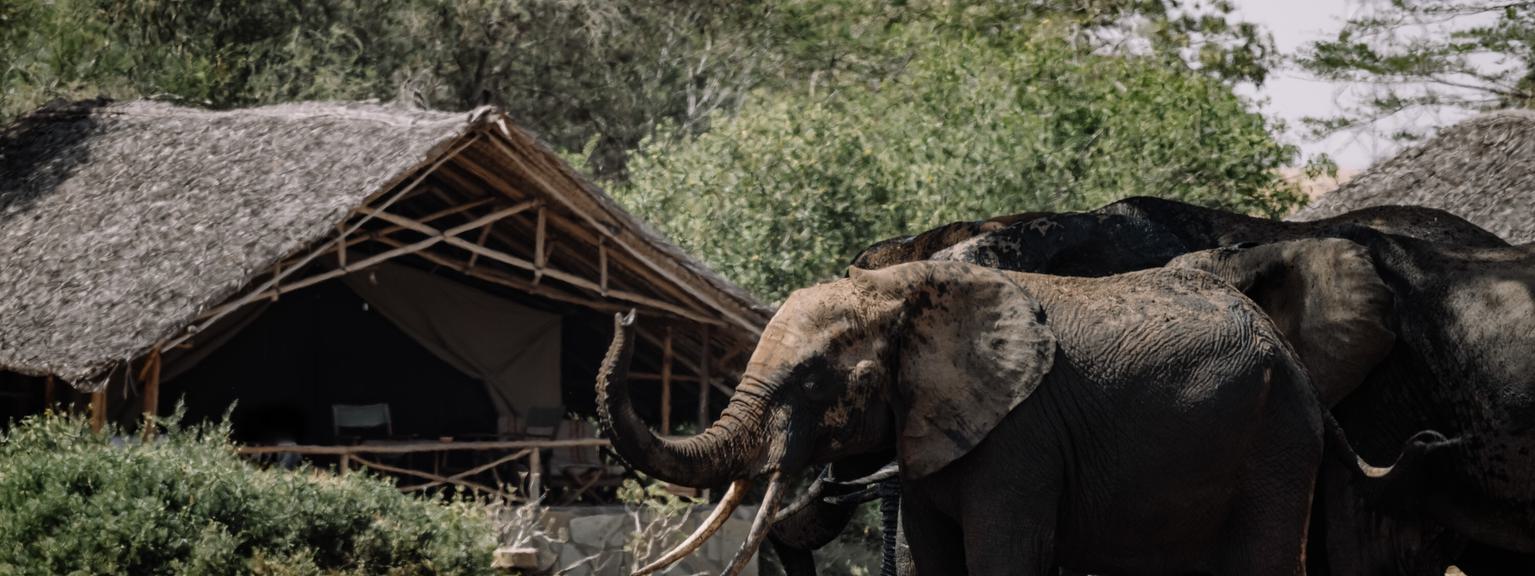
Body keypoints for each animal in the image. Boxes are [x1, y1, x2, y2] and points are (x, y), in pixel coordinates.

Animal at [595, 260, 1435, 575]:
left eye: (814, 381)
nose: (624, 312)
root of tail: (1289, 356)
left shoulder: (1020, 437)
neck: (903, 289)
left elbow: (1003, 556)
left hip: (1275, 436)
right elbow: (936, 556)